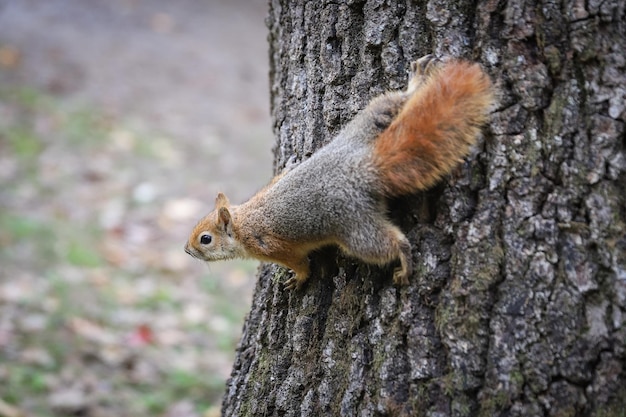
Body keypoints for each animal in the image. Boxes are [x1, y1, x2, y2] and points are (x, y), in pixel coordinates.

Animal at [184, 55, 492, 290]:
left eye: (205, 239)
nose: (186, 251)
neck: (242, 221)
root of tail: (365, 167)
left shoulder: (276, 248)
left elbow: (301, 264)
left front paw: (298, 279)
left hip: (355, 229)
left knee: (392, 244)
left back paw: (405, 264)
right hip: (367, 123)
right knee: (394, 101)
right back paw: (416, 82)